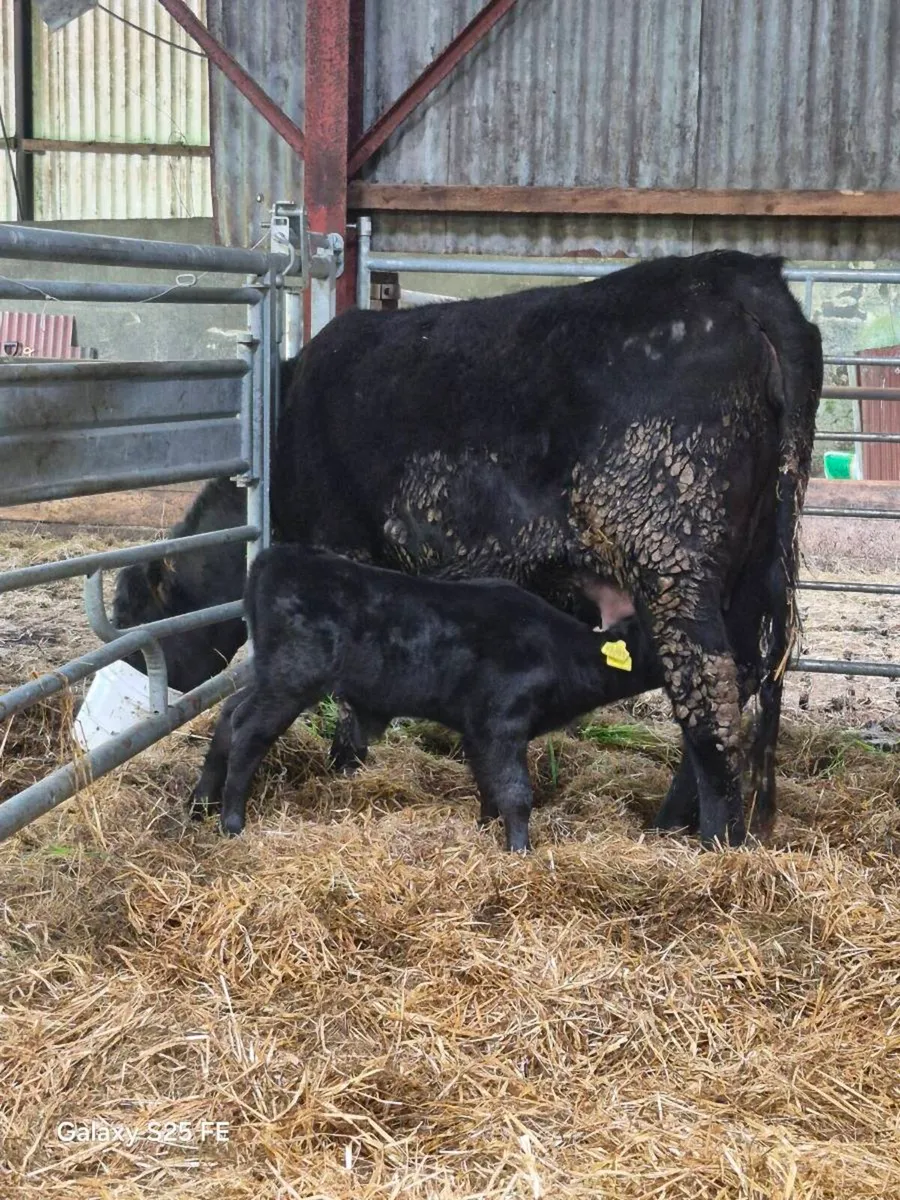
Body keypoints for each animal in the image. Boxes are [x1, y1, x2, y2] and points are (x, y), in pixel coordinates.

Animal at [189, 545, 665, 847]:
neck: (562, 652)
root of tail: (279, 555)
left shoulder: (477, 729)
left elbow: (487, 783)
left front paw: (484, 828)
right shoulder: (503, 722)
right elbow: (515, 791)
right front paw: (520, 850)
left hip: (270, 675)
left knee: (228, 714)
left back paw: (199, 805)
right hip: (291, 679)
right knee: (248, 729)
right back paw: (232, 821)